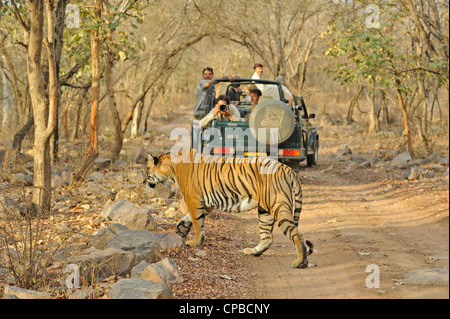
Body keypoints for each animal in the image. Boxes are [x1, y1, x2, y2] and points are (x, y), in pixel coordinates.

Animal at [147, 149, 312, 268]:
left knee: (296, 234)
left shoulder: (193, 200)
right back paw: (252, 252)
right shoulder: (206, 203)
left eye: (148, 173)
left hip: (278, 206)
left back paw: (300, 263)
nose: (146, 183)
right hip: (265, 210)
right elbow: (190, 218)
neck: (172, 168)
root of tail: (286, 168)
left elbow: (197, 222)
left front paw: (195, 242)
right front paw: (181, 229)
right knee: (267, 238)